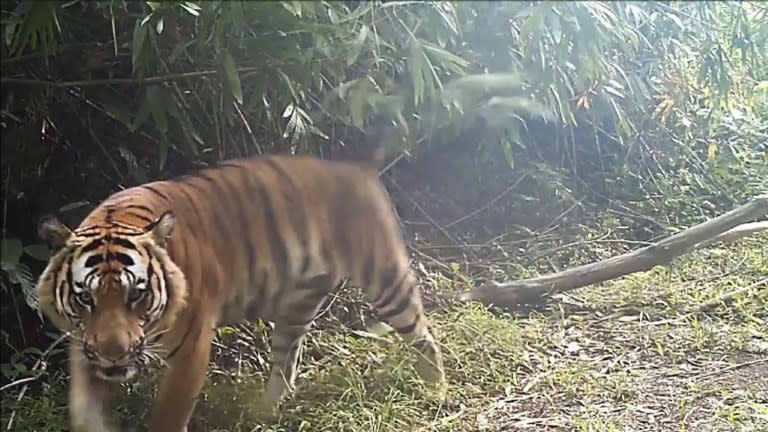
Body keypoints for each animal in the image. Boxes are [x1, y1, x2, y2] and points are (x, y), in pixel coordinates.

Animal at [34, 154, 444, 432]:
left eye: (136, 296)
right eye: (85, 299)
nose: (114, 354)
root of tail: (361, 166)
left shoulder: (192, 348)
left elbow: (168, 414)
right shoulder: (83, 346)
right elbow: (84, 407)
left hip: (384, 278)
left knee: (424, 335)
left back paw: (436, 389)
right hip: (298, 307)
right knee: (286, 364)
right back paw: (262, 413)